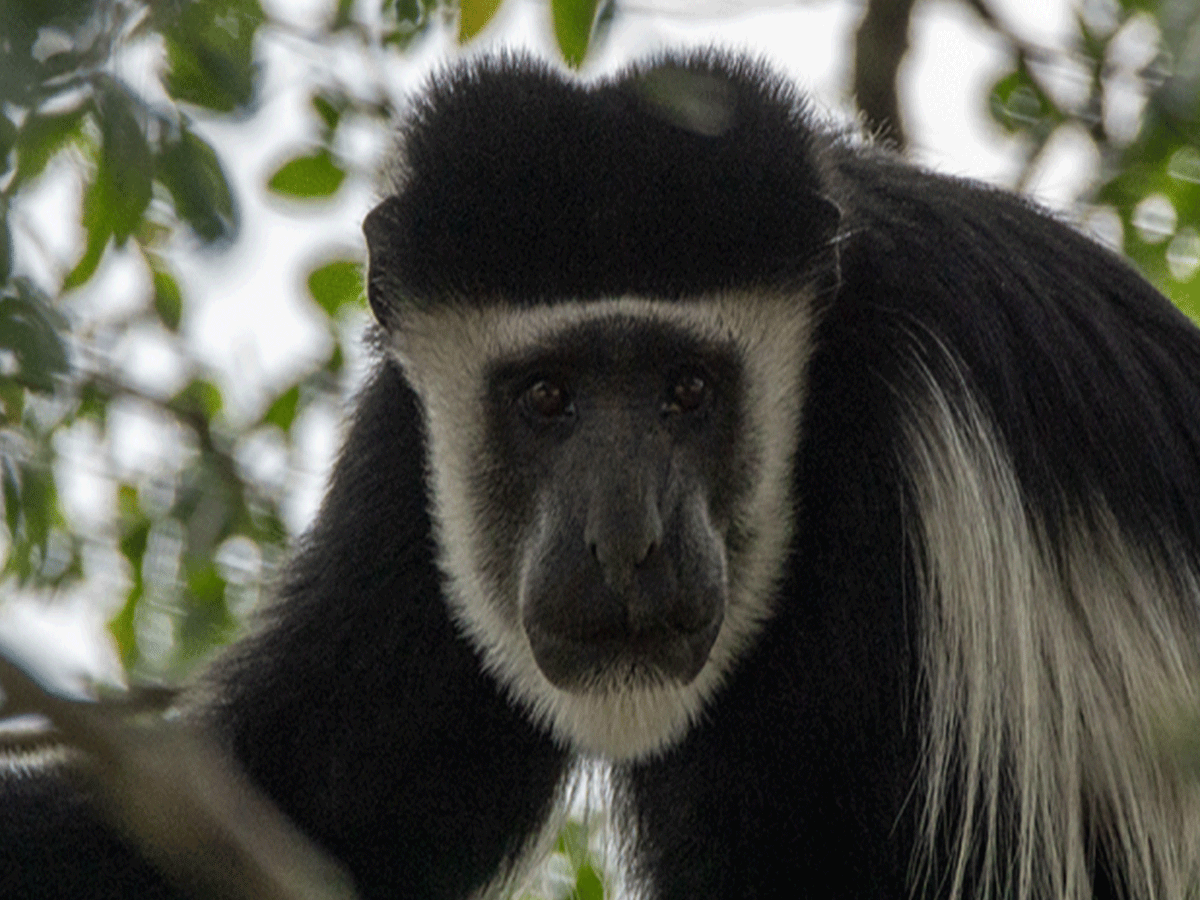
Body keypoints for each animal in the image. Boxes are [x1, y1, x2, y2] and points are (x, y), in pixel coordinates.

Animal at [2, 49, 1200, 900]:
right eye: (546, 396)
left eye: (687, 390)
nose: (626, 540)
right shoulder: (406, 452)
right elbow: (326, 802)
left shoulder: (922, 482)